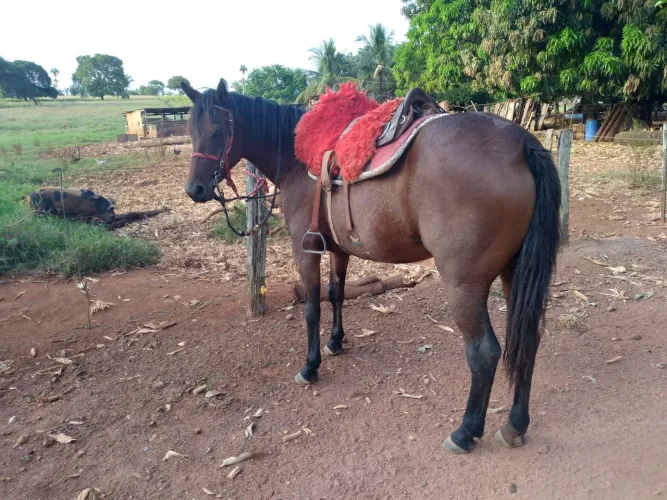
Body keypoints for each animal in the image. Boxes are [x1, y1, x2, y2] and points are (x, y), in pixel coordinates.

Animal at [180, 79, 561, 455]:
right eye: (192, 131)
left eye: (218, 131)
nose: (195, 189)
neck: (298, 158)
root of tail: (522, 144)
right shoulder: (338, 249)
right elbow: (336, 294)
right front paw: (335, 342)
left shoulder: (305, 250)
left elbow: (312, 309)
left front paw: (310, 366)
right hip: (514, 273)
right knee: (527, 339)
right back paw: (514, 425)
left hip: (463, 284)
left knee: (484, 353)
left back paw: (465, 432)